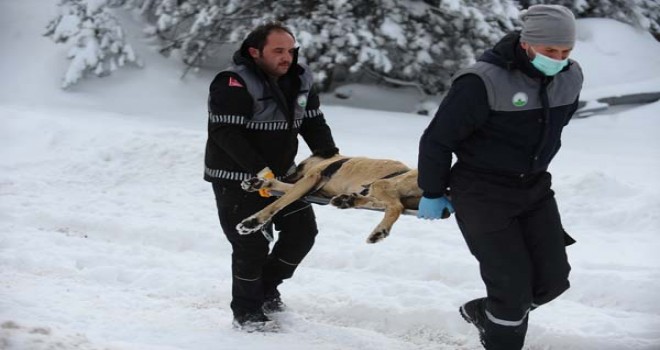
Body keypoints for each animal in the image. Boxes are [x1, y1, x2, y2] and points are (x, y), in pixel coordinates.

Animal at [237, 154, 422, 242]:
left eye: (299, 167)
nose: (287, 176)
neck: (335, 159)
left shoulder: (310, 179)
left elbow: (280, 202)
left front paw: (253, 221)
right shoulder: (309, 186)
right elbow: (282, 187)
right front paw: (260, 182)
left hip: (382, 184)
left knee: (396, 207)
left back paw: (379, 230)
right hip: (378, 188)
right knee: (386, 203)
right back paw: (348, 200)